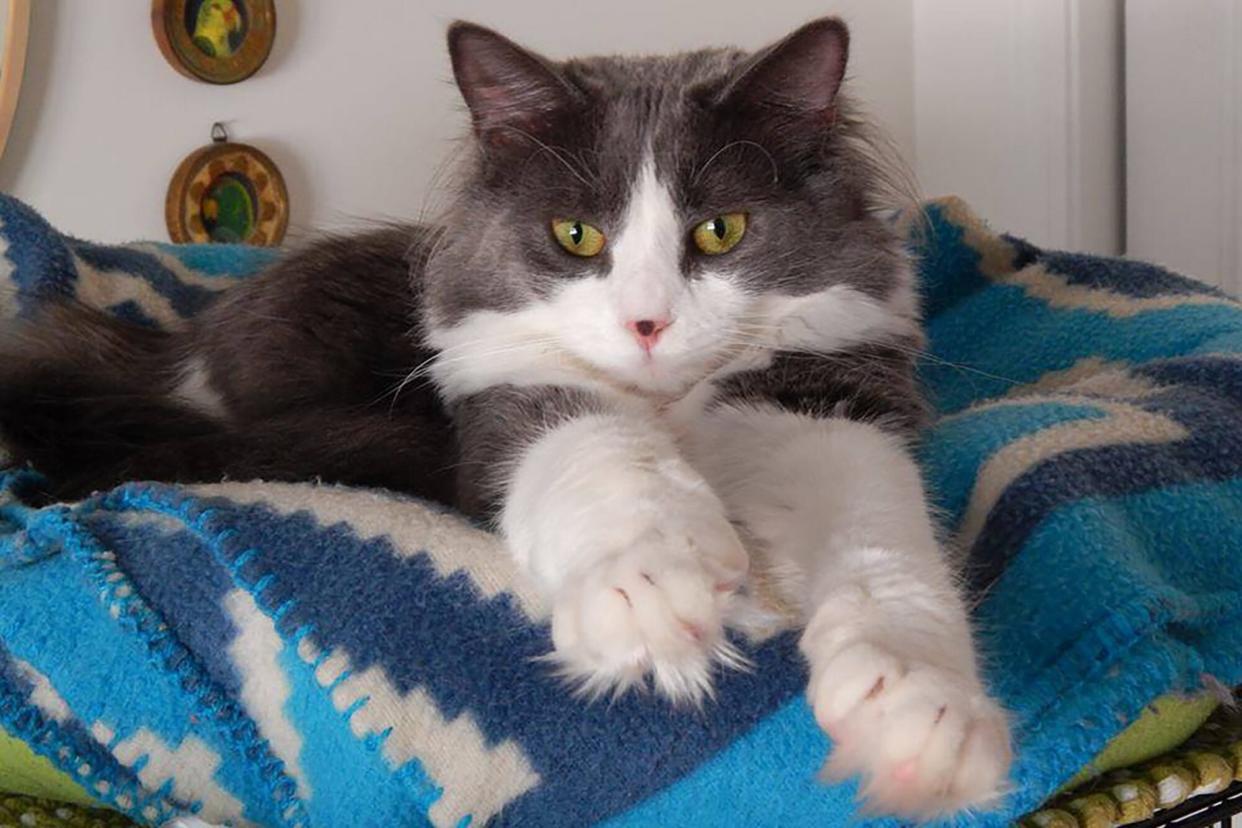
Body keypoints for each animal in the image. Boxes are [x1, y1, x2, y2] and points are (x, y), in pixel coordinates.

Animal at [2, 16, 1008, 819]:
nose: (647, 324)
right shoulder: (509, 394)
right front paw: (653, 594)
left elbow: (881, 548)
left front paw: (920, 714)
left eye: (721, 231)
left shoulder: (831, 404)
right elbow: (602, 456)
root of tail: (178, 348)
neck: (672, 412)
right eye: (577, 238)